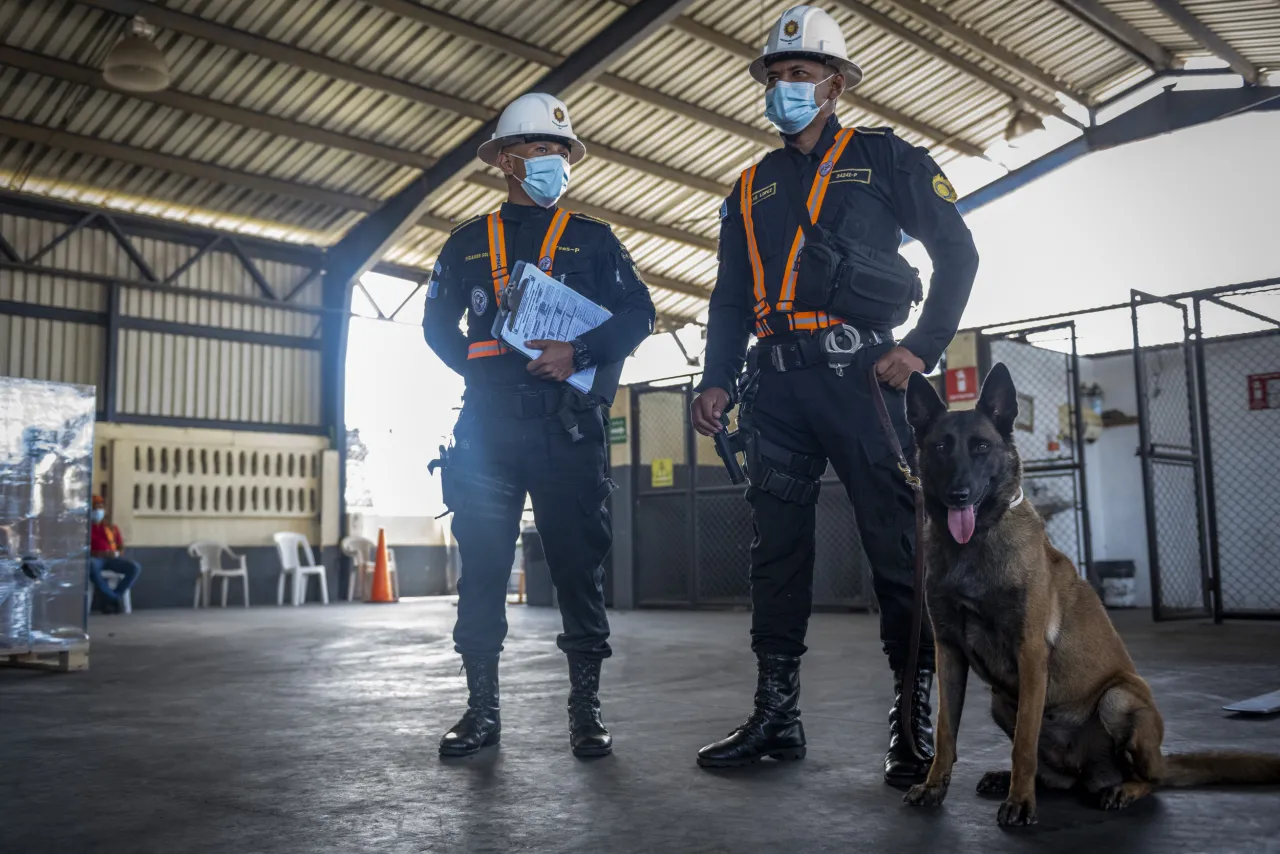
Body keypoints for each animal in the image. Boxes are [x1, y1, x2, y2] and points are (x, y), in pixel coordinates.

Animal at [901, 363, 1280, 824]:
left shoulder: (1030, 653)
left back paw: (1120, 790)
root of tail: (1083, 771)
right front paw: (934, 786)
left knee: (1148, 779)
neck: (973, 546)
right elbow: (946, 733)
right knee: (1053, 773)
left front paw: (1020, 802)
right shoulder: (949, 651)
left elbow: (1023, 744)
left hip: (1118, 699)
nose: (958, 494)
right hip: (999, 702)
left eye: (981, 448)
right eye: (940, 447)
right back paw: (1014, 779)